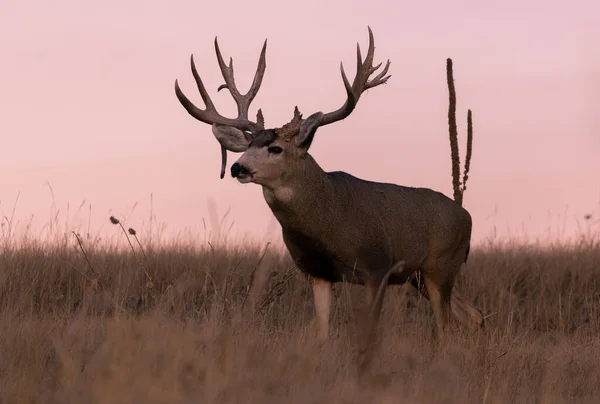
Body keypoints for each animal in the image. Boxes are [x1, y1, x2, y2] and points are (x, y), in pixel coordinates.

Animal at [175, 26, 482, 370]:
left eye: (275, 148)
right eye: (249, 144)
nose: (238, 167)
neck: (328, 218)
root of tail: (466, 215)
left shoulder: (377, 267)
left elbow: (368, 334)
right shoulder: (318, 271)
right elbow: (322, 332)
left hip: (440, 266)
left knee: (446, 329)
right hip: (422, 276)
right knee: (474, 316)